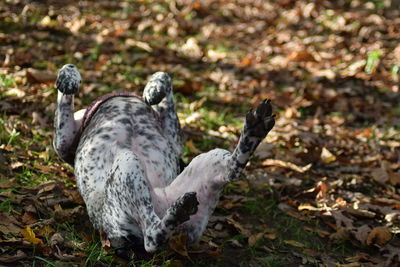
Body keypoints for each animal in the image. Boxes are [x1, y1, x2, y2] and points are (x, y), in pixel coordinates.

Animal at [53, 64, 276, 260]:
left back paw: (254, 130)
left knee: (233, 169)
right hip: (128, 162)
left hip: (207, 161)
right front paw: (69, 76)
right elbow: (64, 92)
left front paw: (155, 86)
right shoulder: (63, 142)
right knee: (152, 236)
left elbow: (165, 77)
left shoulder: (174, 139)